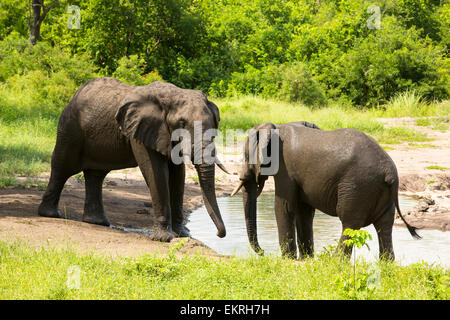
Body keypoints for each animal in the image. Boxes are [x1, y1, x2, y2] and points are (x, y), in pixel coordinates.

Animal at [38, 77, 227, 241]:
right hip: (69, 128)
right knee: (62, 167)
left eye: (215, 122)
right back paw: (50, 214)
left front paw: (182, 235)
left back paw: (97, 222)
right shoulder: (143, 131)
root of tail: (75, 95)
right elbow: (156, 173)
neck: (173, 95)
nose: (219, 235)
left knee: (95, 174)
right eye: (181, 123)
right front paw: (163, 239)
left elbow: (178, 176)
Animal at [232, 121, 422, 258]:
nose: (263, 252)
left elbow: (284, 207)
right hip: (381, 192)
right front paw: (306, 259)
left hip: (357, 186)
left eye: (245, 156)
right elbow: (304, 212)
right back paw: (386, 265)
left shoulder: (286, 169)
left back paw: (334, 261)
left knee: (350, 222)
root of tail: (389, 172)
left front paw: (288, 259)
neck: (275, 126)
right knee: (384, 225)